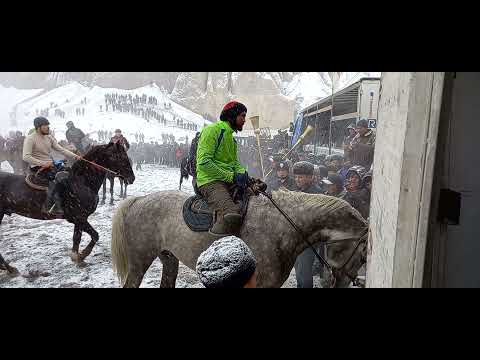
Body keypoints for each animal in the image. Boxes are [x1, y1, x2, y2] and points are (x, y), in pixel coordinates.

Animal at [0, 143, 135, 272]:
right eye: (120, 156)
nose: (132, 178)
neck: (81, 182)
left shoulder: (78, 219)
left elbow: (79, 238)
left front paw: (79, 256)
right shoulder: (79, 217)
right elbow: (92, 236)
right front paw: (80, 255)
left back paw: (7, 267)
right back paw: (9, 268)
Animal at [110, 190, 370, 288]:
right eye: (363, 256)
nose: (345, 284)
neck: (282, 226)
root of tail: (139, 199)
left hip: (169, 258)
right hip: (139, 262)